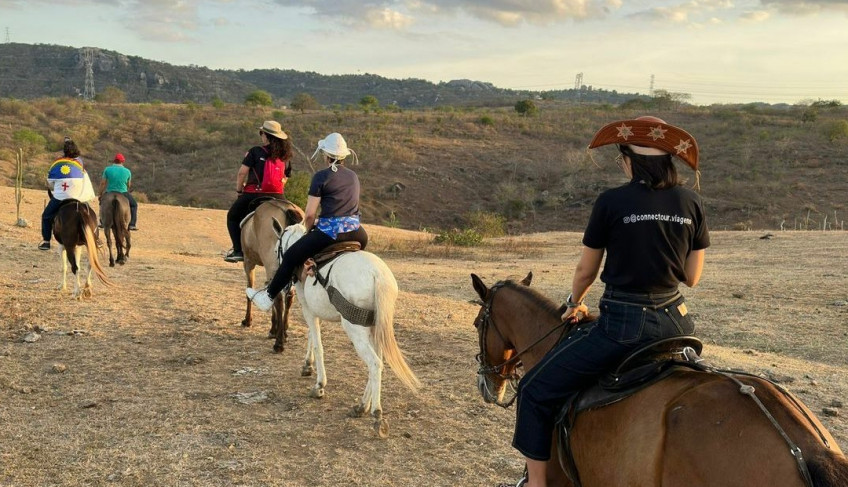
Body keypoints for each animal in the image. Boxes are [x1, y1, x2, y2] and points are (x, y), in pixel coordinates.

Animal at [238, 198, 304, 350]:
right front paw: (275, 328)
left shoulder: (248, 262)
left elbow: (249, 289)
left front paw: (247, 320)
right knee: (288, 296)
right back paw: (283, 332)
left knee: (278, 298)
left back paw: (279, 343)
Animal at [274, 221, 420, 438]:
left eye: (277, 249)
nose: (286, 286)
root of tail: (378, 275)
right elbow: (312, 336)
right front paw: (307, 366)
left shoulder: (308, 308)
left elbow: (317, 344)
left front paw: (319, 385)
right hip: (375, 326)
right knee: (379, 362)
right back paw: (361, 406)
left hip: (355, 328)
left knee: (375, 363)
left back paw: (376, 414)